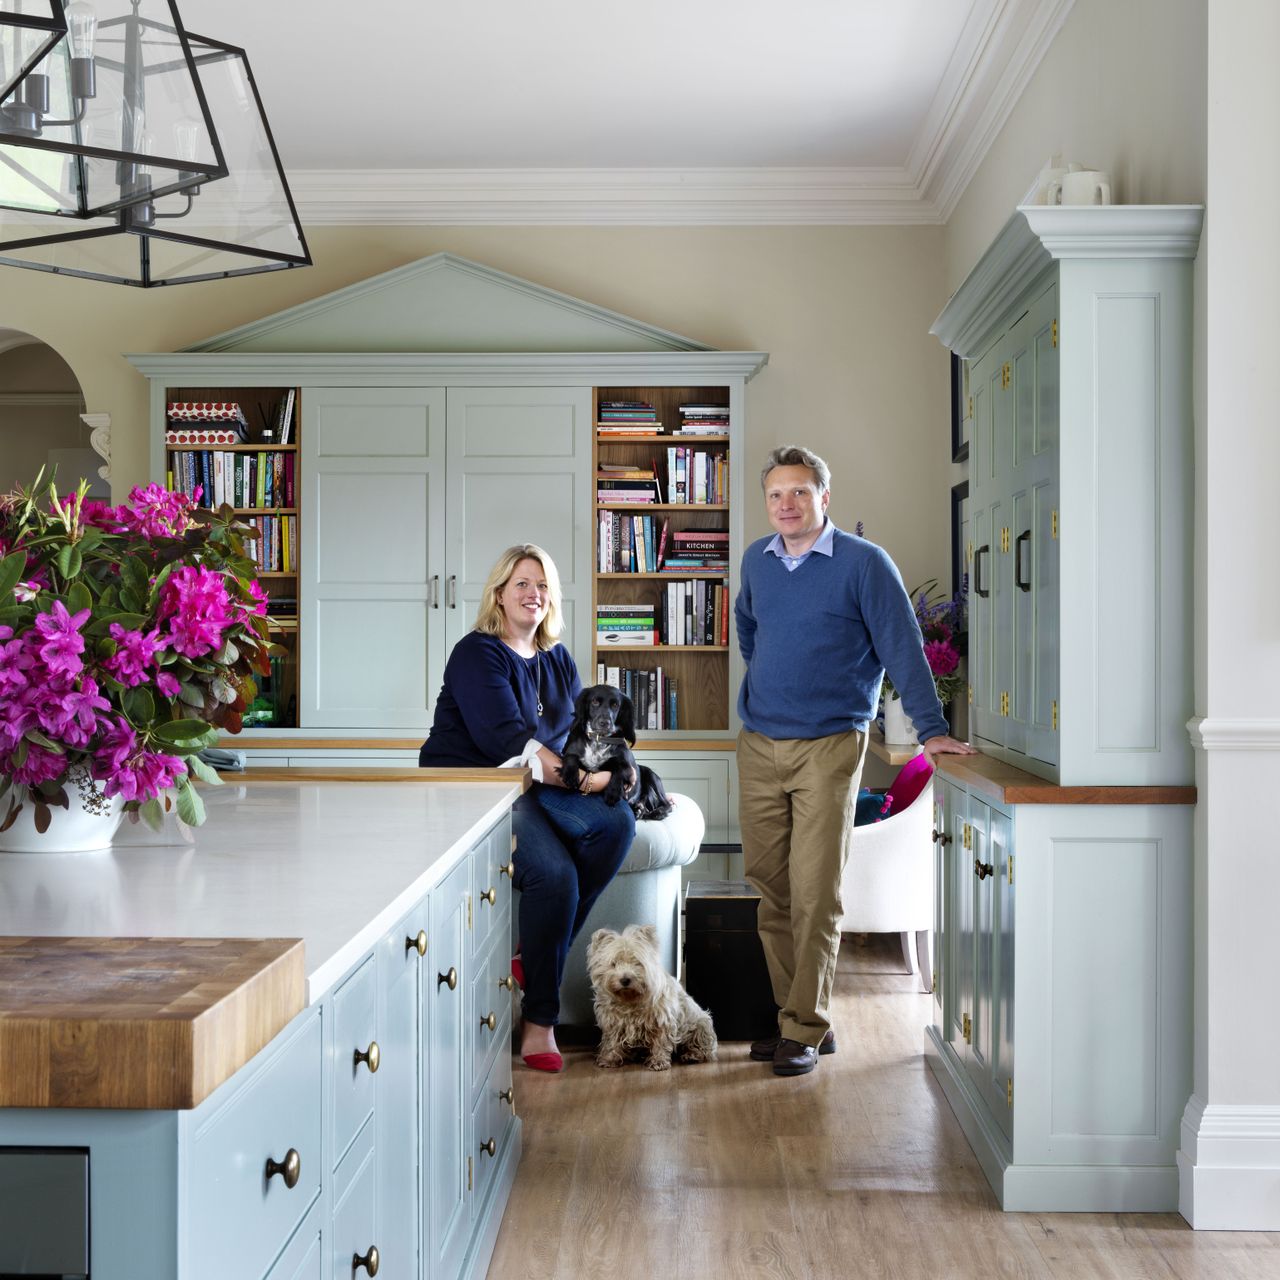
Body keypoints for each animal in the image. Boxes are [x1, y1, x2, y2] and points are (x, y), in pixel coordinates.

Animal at [583, 921, 716, 1070]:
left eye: (637, 962)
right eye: (614, 963)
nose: (625, 980)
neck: (630, 999)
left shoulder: (662, 1020)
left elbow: (660, 1042)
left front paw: (659, 1062)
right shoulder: (613, 1022)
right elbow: (612, 1041)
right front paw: (609, 1059)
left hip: (701, 1024)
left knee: (701, 1046)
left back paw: (692, 1055)